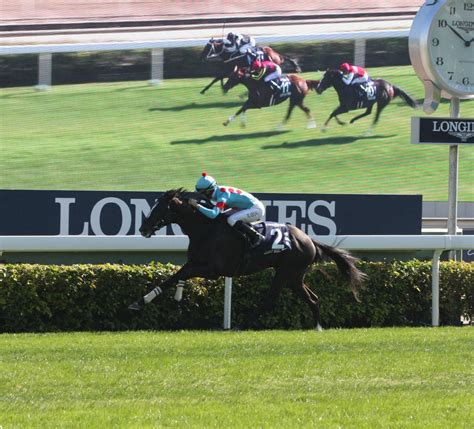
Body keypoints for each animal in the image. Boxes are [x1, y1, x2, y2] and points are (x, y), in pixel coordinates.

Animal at [128, 186, 364, 328]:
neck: (206, 229)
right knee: (313, 299)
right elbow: (175, 276)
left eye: (160, 208)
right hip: (294, 276)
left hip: (287, 271)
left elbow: (178, 276)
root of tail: (308, 239)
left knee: (270, 300)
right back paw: (317, 327)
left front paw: (143, 302)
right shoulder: (194, 262)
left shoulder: (214, 270)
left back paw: (242, 324)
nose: (143, 228)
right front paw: (144, 301)